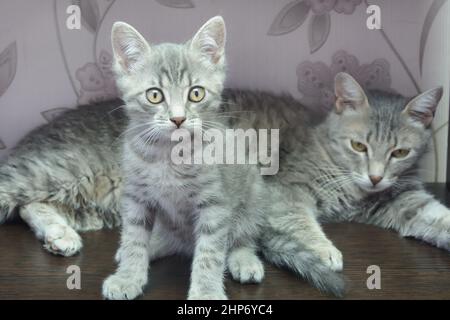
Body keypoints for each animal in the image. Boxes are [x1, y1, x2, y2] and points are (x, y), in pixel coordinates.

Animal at [102, 18, 270, 300]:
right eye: (155, 95)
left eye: (196, 94)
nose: (178, 118)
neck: (169, 155)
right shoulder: (136, 197)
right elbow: (134, 237)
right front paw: (128, 276)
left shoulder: (214, 204)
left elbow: (210, 252)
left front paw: (207, 293)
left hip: (253, 194)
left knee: (243, 236)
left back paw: (244, 259)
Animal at [258, 71, 448, 284]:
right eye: (358, 146)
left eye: (400, 152)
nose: (375, 178)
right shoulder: (285, 189)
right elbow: (298, 220)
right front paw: (323, 250)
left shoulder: (405, 198)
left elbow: (438, 215)